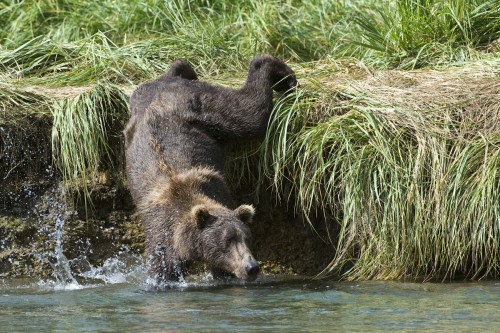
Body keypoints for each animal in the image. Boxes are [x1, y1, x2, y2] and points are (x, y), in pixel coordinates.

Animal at [124, 53, 296, 280]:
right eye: (227, 241)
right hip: (194, 104)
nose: (251, 267)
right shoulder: (162, 237)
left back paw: (284, 77)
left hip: (199, 106)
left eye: (247, 237)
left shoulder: (220, 194)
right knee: (250, 111)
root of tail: (164, 83)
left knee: (249, 114)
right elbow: (161, 271)